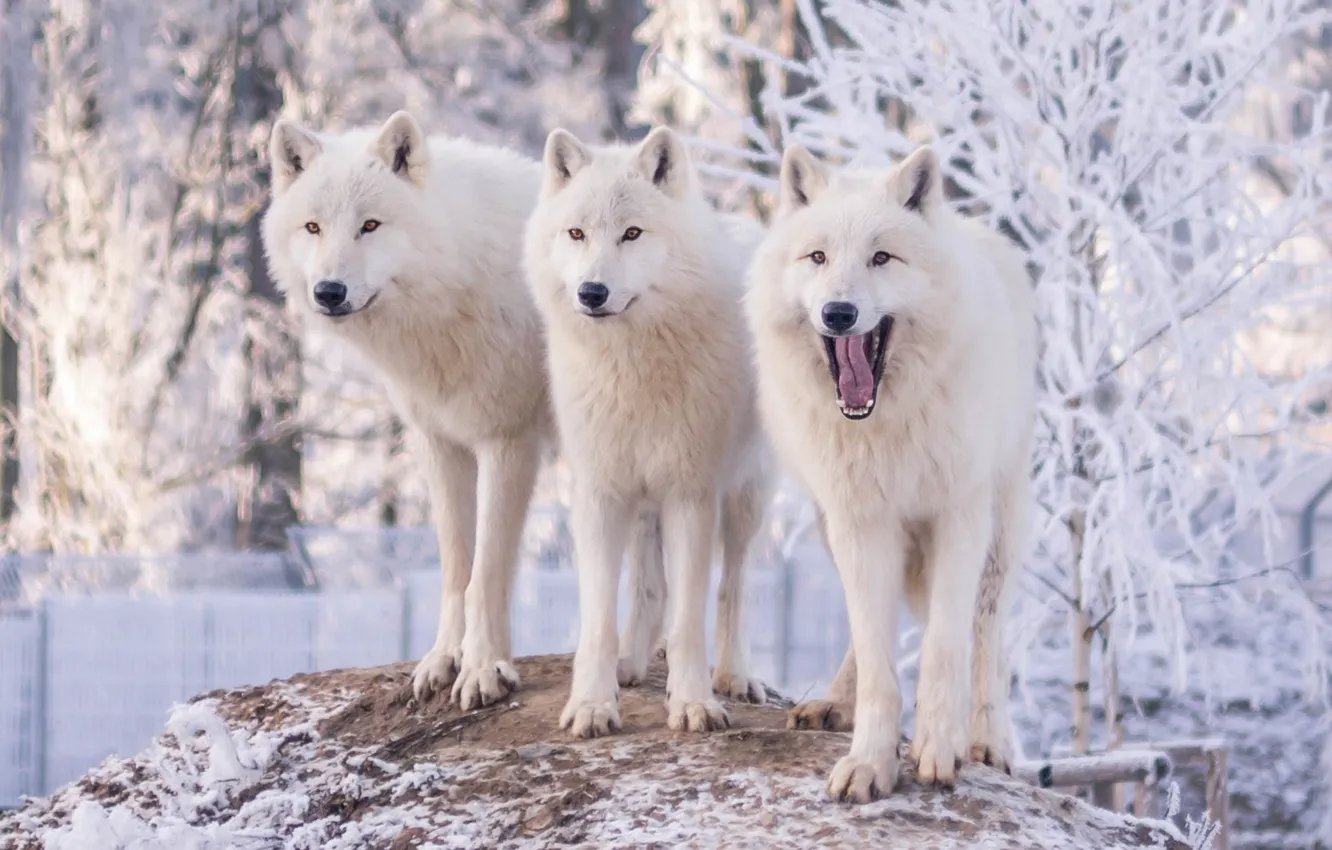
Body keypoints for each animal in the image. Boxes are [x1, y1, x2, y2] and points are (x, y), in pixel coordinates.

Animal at [262, 111, 552, 711]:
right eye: (313, 227)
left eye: (370, 226)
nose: (329, 291)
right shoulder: (440, 444)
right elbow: (456, 568)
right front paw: (446, 660)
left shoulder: (509, 442)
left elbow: (486, 571)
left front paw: (483, 669)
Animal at [524, 125, 774, 737]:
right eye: (577, 233)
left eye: (632, 233)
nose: (591, 292)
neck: (630, 367)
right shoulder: (600, 493)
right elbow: (599, 618)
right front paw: (593, 704)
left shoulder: (691, 494)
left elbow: (689, 620)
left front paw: (693, 704)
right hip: (641, 500)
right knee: (647, 586)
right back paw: (631, 663)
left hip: (746, 496)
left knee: (734, 586)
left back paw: (735, 675)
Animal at [745, 144, 1036, 803]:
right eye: (818, 257)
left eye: (882, 257)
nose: (839, 312)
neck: (885, 423)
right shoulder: (862, 522)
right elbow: (878, 657)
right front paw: (870, 763)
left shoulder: (957, 516)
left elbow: (945, 648)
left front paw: (939, 749)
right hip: (831, 529)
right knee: (864, 632)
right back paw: (834, 702)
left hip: (1001, 532)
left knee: (989, 640)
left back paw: (990, 740)